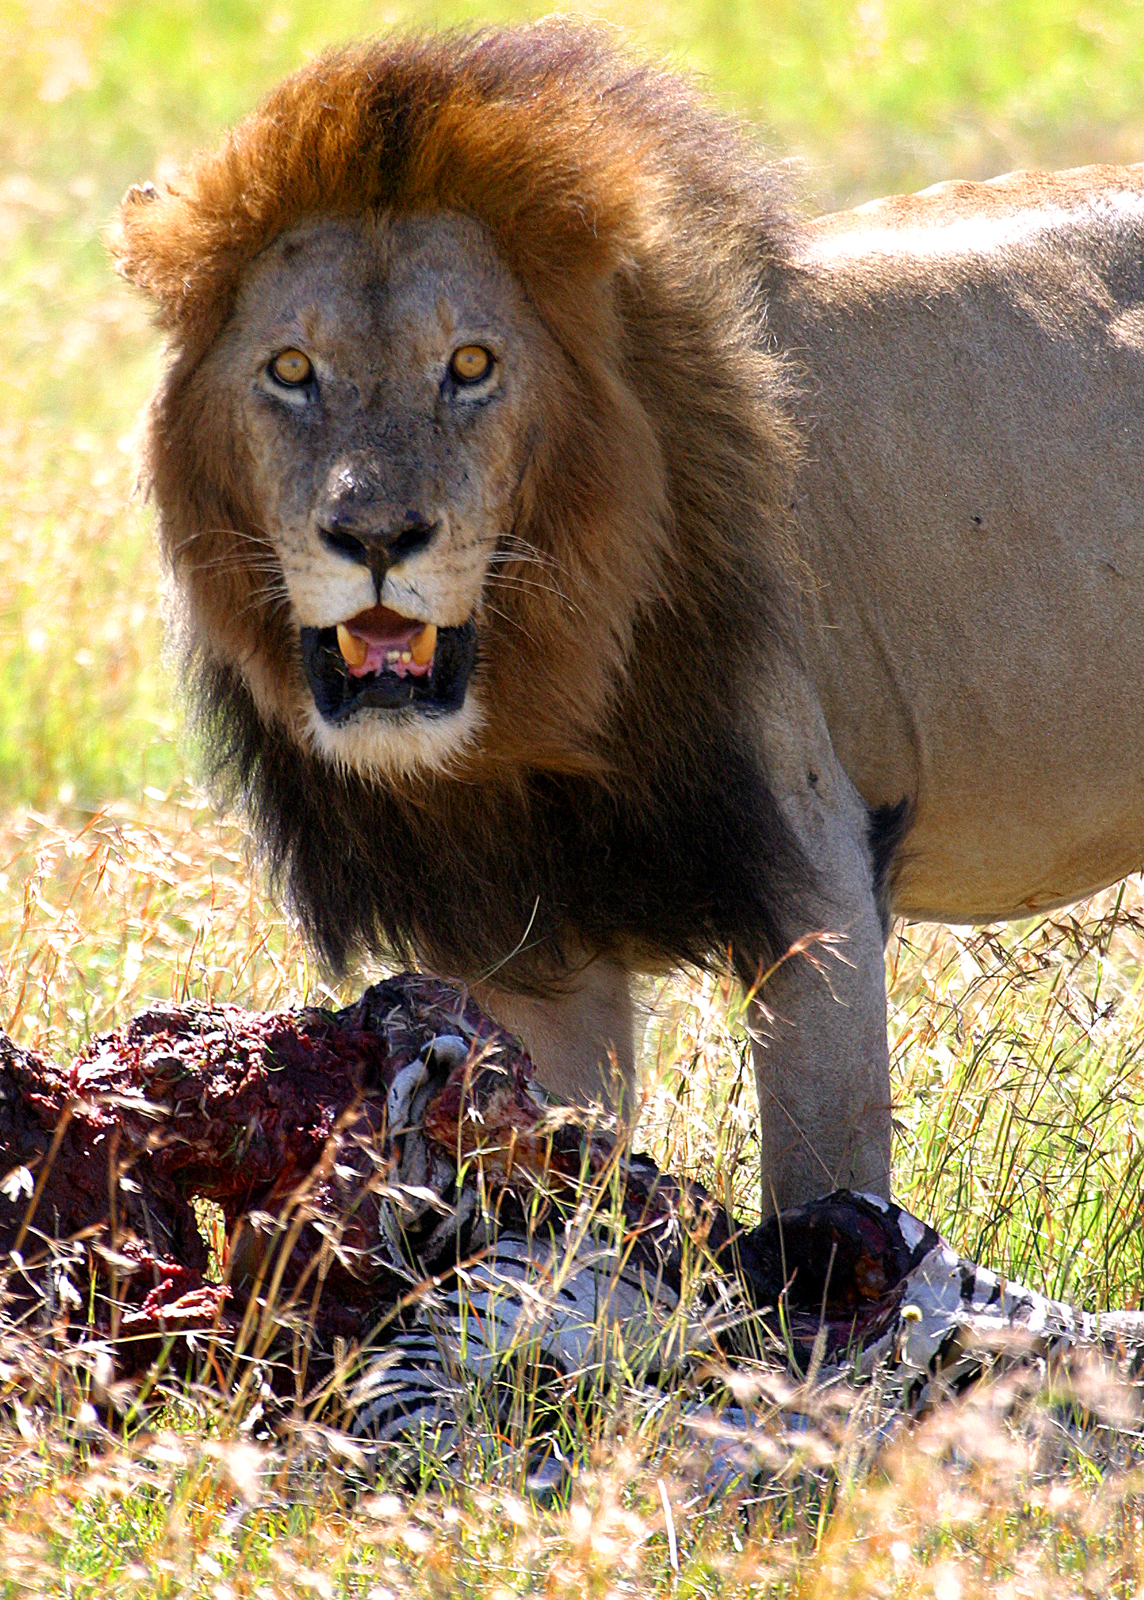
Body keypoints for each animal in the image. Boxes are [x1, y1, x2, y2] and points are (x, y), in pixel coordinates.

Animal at [112, 25, 1144, 1210]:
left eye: (471, 366)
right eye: (291, 370)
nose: (375, 539)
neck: (534, 715)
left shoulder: (816, 894)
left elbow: (820, 1192)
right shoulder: (532, 961)